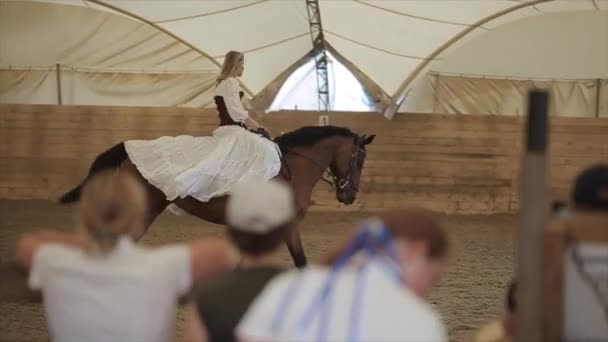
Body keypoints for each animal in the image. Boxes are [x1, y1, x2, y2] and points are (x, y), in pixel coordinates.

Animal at [60, 125, 376, 268]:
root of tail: (129, 151)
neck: (291, 170)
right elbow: (300, 263)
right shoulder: (287, 226)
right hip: (144, 210)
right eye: (360, 159)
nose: (349, 196)